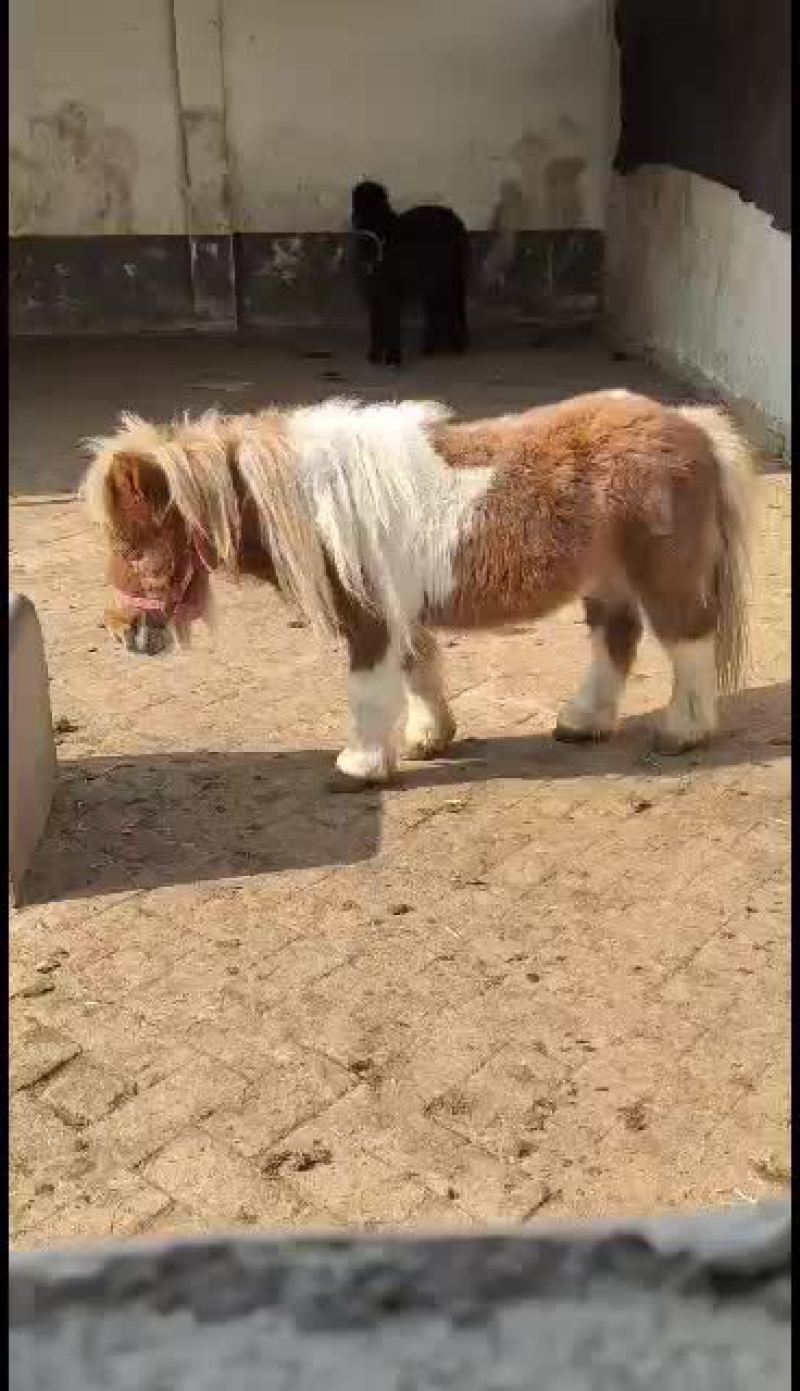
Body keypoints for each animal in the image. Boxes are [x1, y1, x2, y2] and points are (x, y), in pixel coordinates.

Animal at [83, 389, 756, 791]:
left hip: (663, 576)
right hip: (609, 579)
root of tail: (694, 425)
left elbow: (369, 692)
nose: (122, 633)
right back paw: (582, 722)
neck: (318, 502)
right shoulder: (402, 615)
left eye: (134, 546)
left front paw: (362, 765)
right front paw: (429, 738)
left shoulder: (370, 615)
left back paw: (682, 732)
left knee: (688, 643)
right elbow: (418, 671)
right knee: (616, 639)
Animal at [350, 180, 469, 366]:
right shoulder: (374, 290)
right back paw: (430, 347)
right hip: (432, 281)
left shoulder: (393, 292)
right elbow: (376, 321)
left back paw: (458, 345)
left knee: (454, 306)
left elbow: (391, 322)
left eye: (379, 206)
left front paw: (393, 357)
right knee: (436, 310)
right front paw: (375, 354)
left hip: (451, 276)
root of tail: (452, 215)